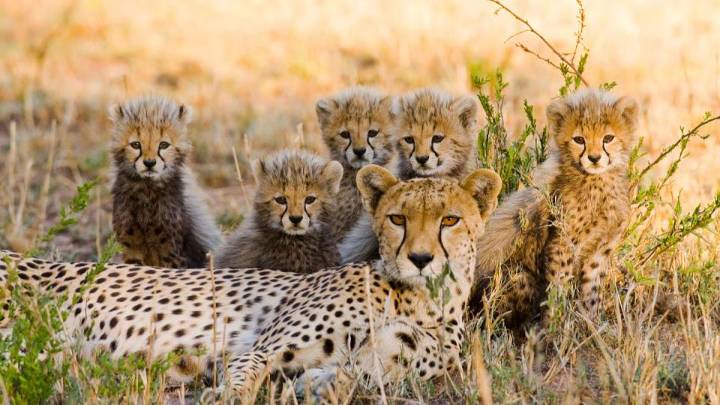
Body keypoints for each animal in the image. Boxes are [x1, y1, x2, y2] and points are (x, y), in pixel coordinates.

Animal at [0, 165, 501, 401]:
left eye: (450, 220)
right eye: (398, 219)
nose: (420, 259)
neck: (425, 300)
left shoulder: (363, 369)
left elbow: (338, 380)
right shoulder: (256, 351)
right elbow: (244, 381)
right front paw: (221, 395)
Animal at [110, 95, 221, 268]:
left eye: (163, 145)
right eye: (136, 144)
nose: (149, 163)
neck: (147, 189)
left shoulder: (171, 252)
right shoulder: (131, 246)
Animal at [469, 88, 639, 324]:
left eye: (608, 138)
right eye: (579, 139)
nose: (594, 158)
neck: (597, 181)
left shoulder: (600, 249)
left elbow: (592, 289)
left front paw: (591, 323)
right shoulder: (562, 244)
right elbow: (559, 284)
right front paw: (553, 324)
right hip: (518, 276)